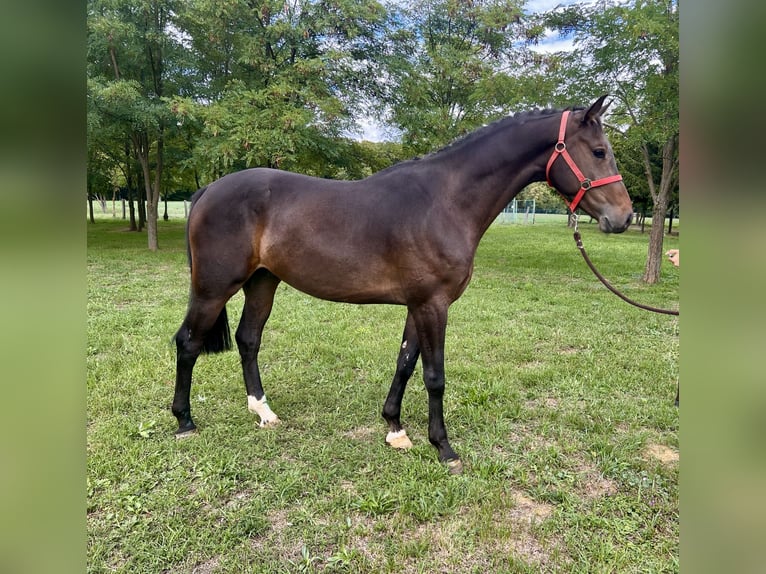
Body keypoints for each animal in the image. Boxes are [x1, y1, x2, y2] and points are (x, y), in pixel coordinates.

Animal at [172, 95, 633, 474]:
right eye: (599, 152)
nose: (624, 217)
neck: (445, 201)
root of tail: (209, 188)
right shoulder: (433, 304)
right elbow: (434, 375)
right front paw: (444, 448)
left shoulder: (418, 304)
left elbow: (405, 362)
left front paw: (395, 428)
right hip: (213, 288)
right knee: (188, 342)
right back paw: (185, 421)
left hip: (263, 283)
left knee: (248, 339)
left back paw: (263, 412)